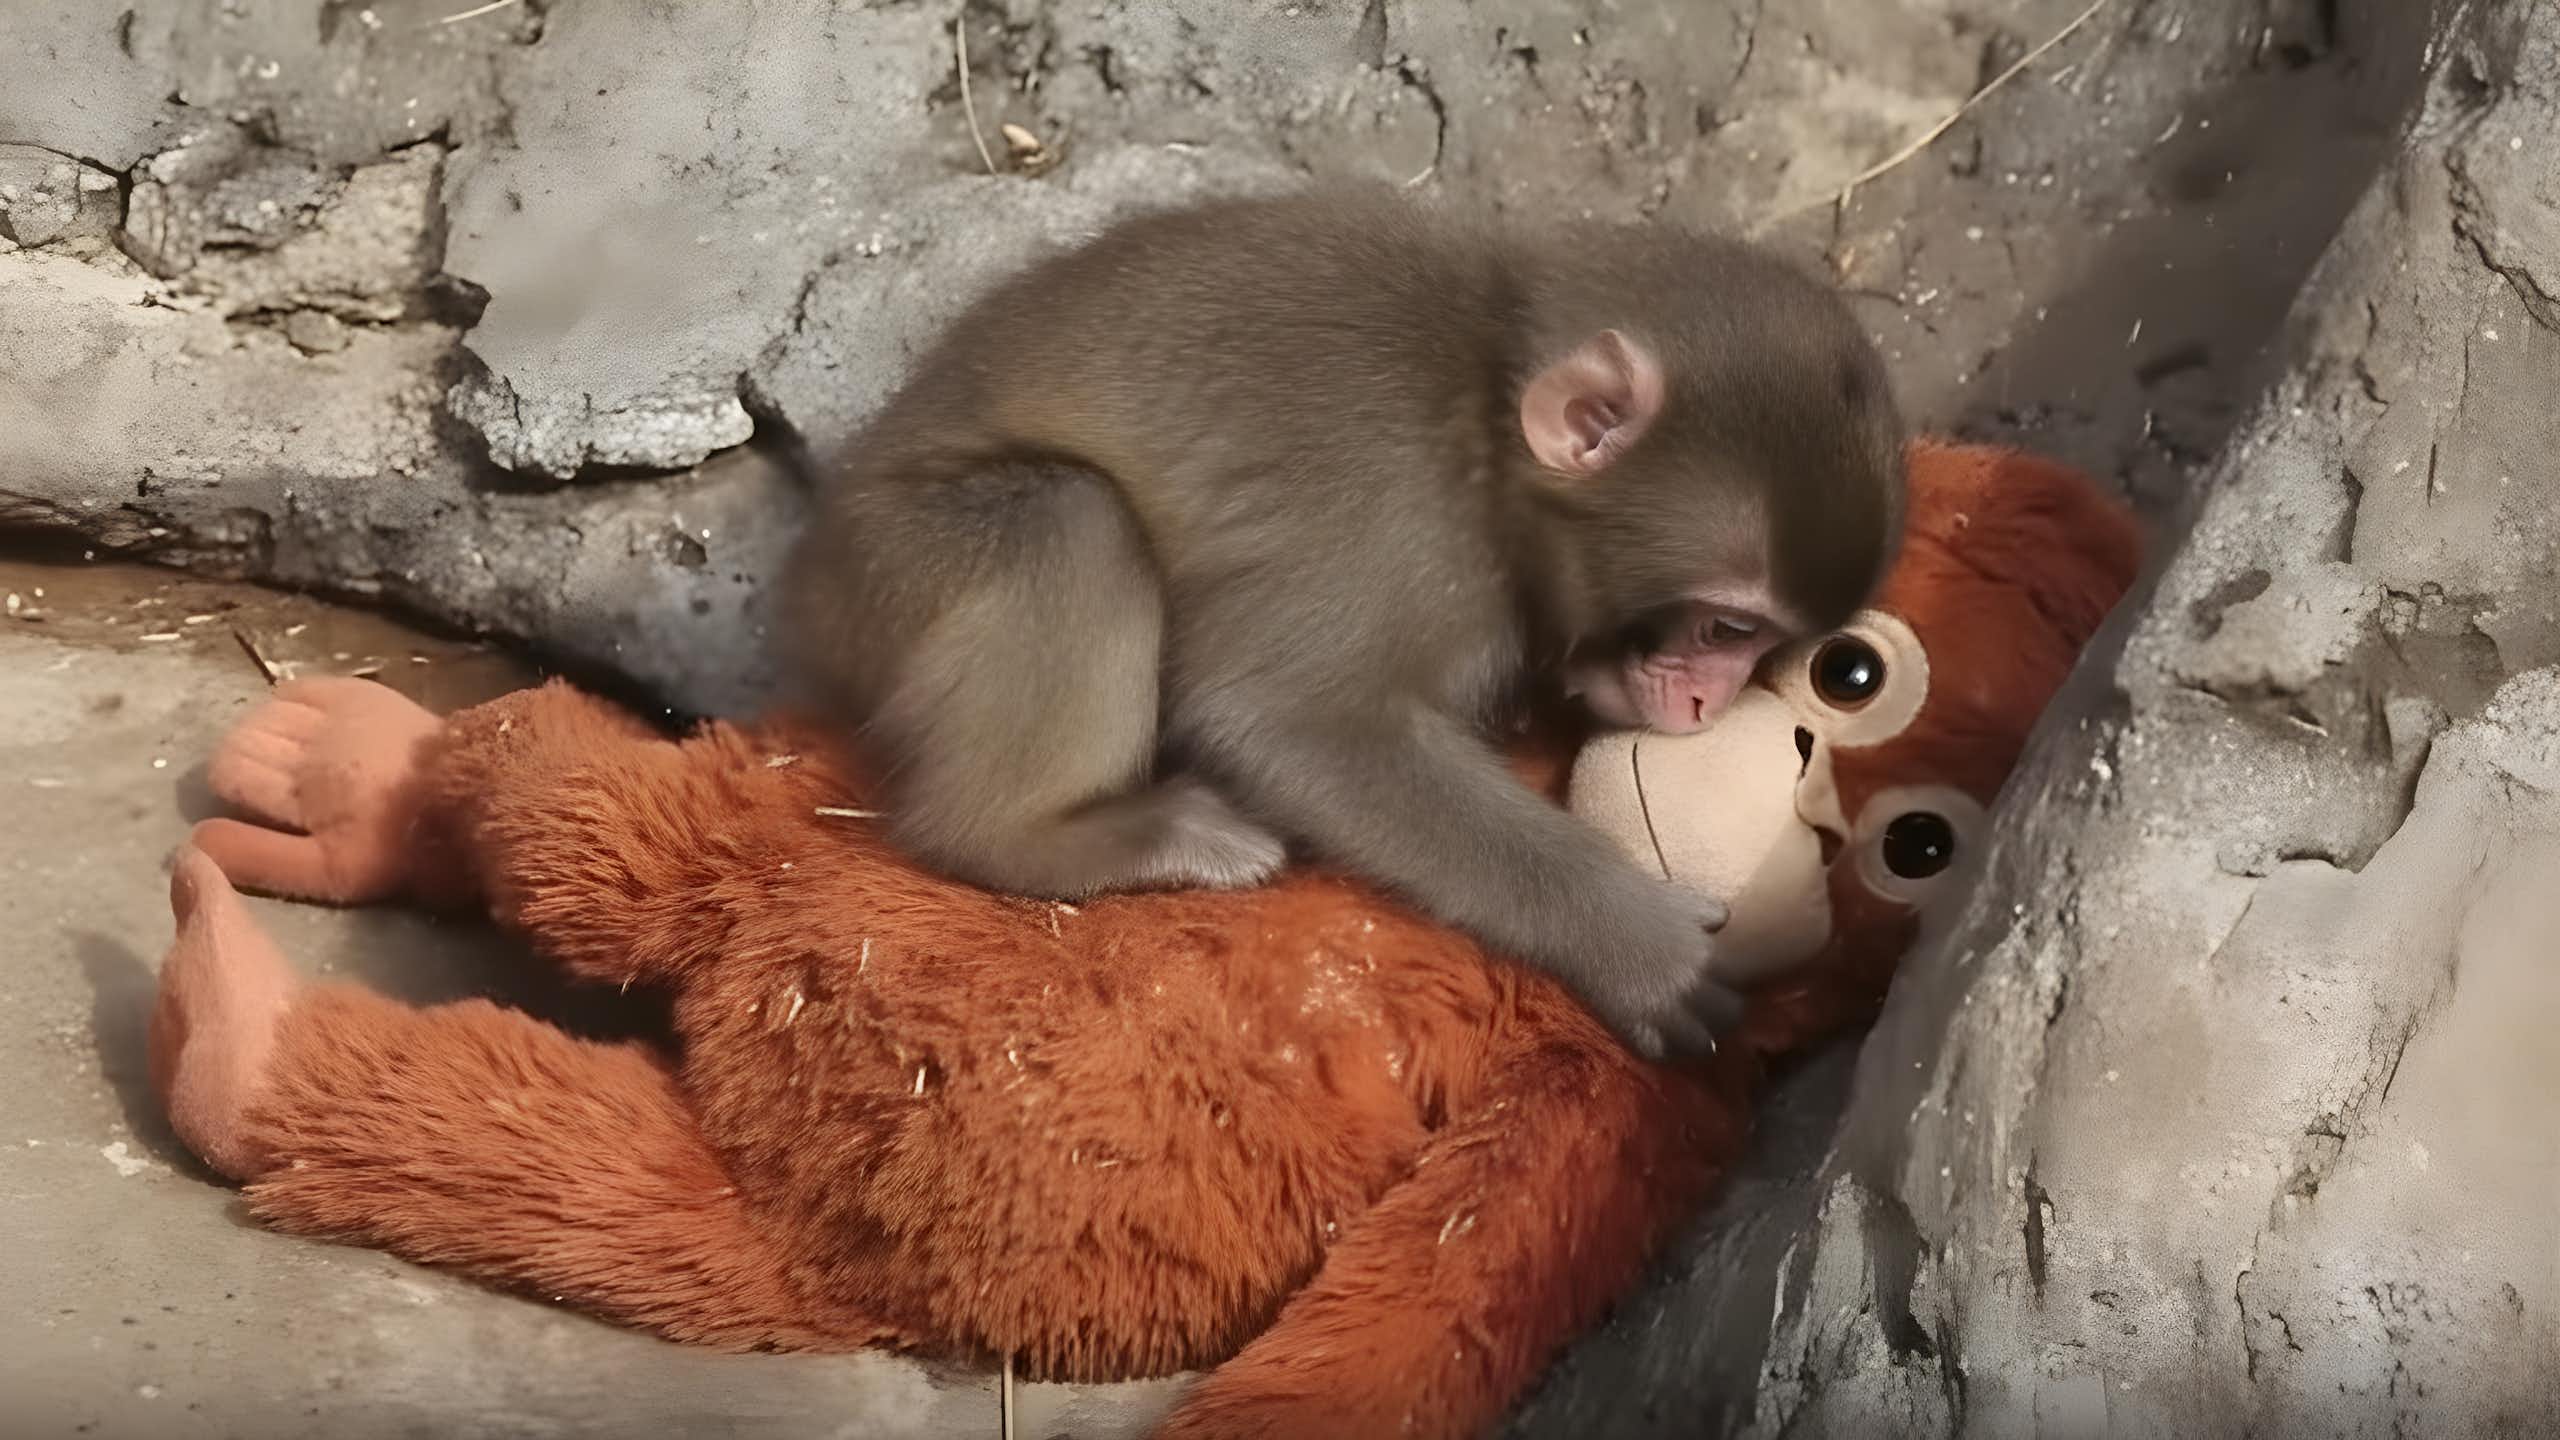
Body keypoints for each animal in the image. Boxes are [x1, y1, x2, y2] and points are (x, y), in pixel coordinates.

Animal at [774, 187, 1905, 1059]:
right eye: (1724, 628)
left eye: (1767, 644)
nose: (1711, 697)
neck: (1485, 426)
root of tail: (813, 584)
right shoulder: (1395, 524)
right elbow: (1286, 719)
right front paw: (1638, 946)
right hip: (895, 574)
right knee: (1070, 524)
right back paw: (1039, 840)